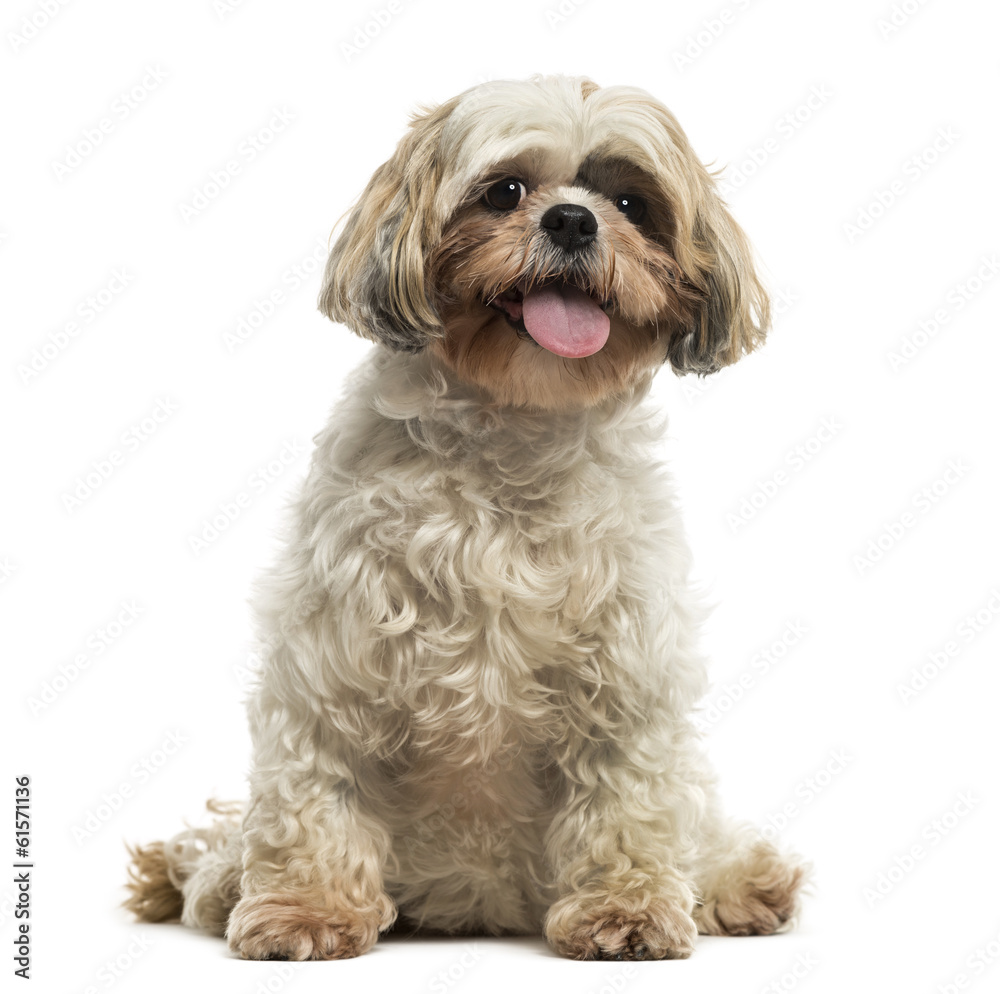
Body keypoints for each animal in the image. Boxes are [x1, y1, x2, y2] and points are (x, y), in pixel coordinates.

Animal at [127, 73, 812, 956]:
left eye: (631, 200)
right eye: (506, 191)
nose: (572, 218)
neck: (514, 429)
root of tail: (477, 902)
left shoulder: (628, 674)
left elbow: (629, 801)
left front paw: (626, 908)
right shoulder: (330, 661)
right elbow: (316, 794)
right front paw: (305, 909)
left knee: (694, 823)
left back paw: (737, 881)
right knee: (224, 848)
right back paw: (217, 883)